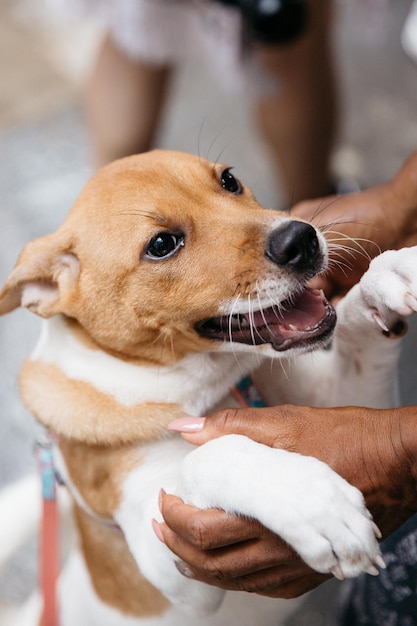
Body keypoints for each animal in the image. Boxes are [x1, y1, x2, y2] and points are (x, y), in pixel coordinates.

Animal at [0, 151, 414, 624]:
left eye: (229, 180)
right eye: (162, 244)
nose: (301, 239)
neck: (211, 388)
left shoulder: (349, 401)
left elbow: (356, 331)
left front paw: (390, 275)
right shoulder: (164, 554)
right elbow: (210, 453)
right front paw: (313, 502)